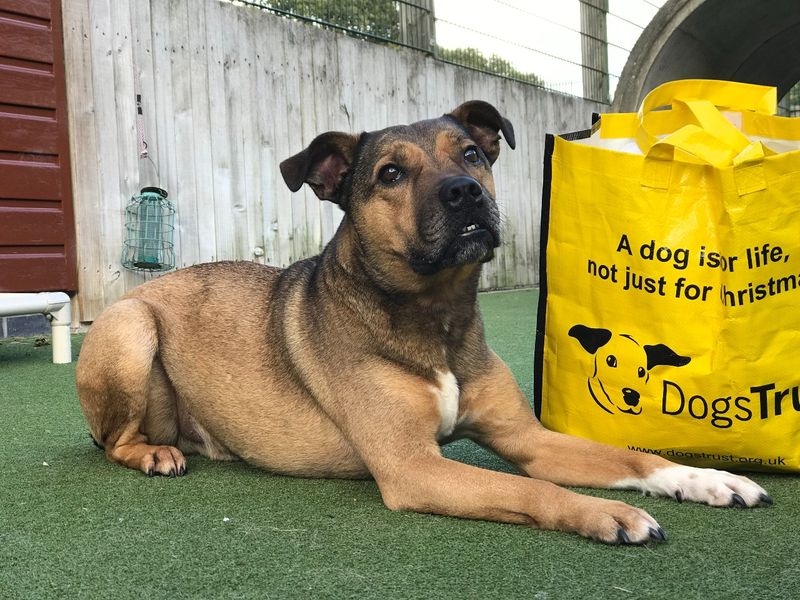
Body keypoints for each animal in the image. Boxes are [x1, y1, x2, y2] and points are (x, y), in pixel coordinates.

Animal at [78, 103, 772, 544]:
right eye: (390, 173)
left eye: (470, 153)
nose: (465, 191)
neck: (436, 318)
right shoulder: (413, 466)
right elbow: (532, 491)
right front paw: (606, 513)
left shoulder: (527, 438)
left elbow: (628, 454)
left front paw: (706, 478)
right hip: (130, 330)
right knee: (113, 441)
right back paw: (153, 453)